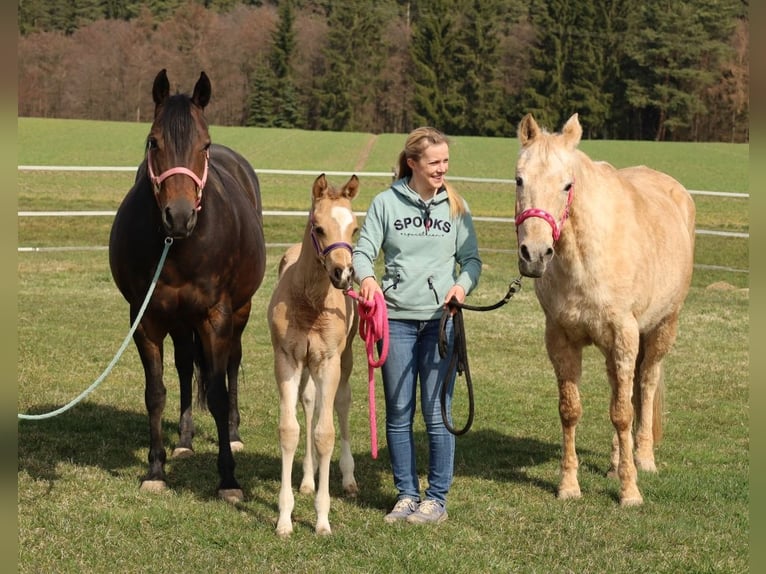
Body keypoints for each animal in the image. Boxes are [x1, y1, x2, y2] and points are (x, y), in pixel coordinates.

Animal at [109, 69, 266, 503]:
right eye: (153, 141)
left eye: (204, 145)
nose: (178, 216)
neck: (178, 246)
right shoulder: (145, 318)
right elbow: (155, 392)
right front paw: (155, 469)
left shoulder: (216, 316)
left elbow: (217, 392)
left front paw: (228, 479)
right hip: (179, 322)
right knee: (182, 367)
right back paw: (184, 439)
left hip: (239, 313)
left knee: (231, 365)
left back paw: (233, 434)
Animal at [267, 173, 360, 536]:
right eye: (318, 228)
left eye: (355, 228)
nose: (343, 274)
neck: (310, 304)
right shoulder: (287, 359)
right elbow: (289, 430)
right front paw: (284, 518)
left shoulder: (329, 361)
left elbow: (325, 434)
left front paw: (322, 519)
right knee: (309, 402)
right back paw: (307, 479)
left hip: (345, 360)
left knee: (340, 403)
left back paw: (347, 478)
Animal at [513, 113, 695, 506]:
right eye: (519, 179)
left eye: (567, 185)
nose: (534, 254)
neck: (584, 259)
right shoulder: (561, 338)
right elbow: (571, 410)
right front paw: (569, 486)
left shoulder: (624, 335)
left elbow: (623, 413)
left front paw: (630, 491)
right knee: (621, 390)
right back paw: (614, 463)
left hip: (661, 328)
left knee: (645, 385)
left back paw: (643, 459)